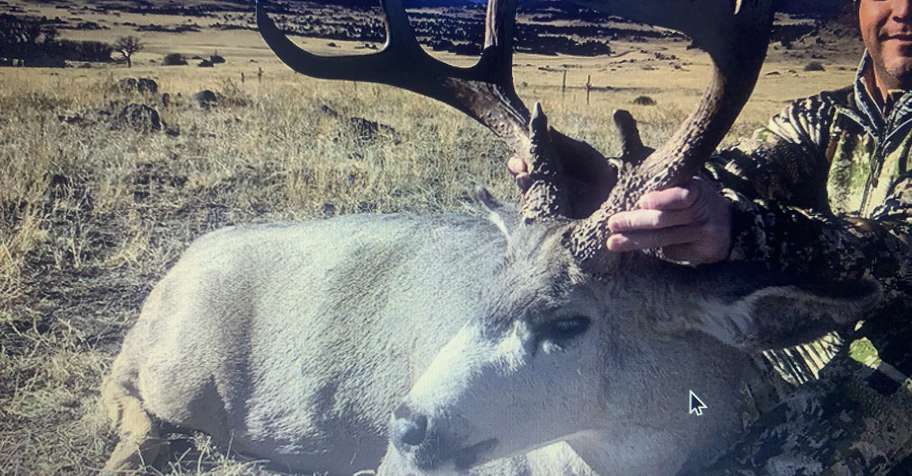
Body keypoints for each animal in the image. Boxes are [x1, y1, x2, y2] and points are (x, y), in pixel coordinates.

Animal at [101, 0, 887, 474]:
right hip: (173, 373)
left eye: (569, 322)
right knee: (125, 402)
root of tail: (174, 272)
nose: (406, 426)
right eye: (483, 294)